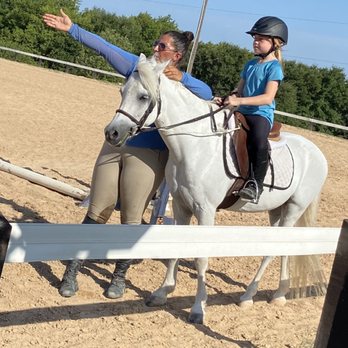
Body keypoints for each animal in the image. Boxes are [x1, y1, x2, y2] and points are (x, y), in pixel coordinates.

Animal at [104, 54, 328, 324]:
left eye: (143, 97)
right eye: (122, 91)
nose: (112, 133)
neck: (195, 145)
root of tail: (317, 152)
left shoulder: (205, 211)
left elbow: (201, 258)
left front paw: (198, 308)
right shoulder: (181, 206)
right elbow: (175, 250)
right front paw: (162, 293)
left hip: (295, 208)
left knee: (276, 249)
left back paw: (256, 296)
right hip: (277, 210)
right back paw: (272, 294)